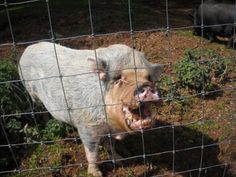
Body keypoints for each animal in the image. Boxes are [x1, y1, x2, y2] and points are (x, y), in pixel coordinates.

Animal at [18, 42, 162, 176]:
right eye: (118, 78)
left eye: (149, 78)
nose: (147, 86)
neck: (109, 123)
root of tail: (29, 48)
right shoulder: (87, 126)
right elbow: (92, 153)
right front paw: (95, 174)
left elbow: (110, 145)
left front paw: (121, 161)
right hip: (30, 92)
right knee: (40, 109)